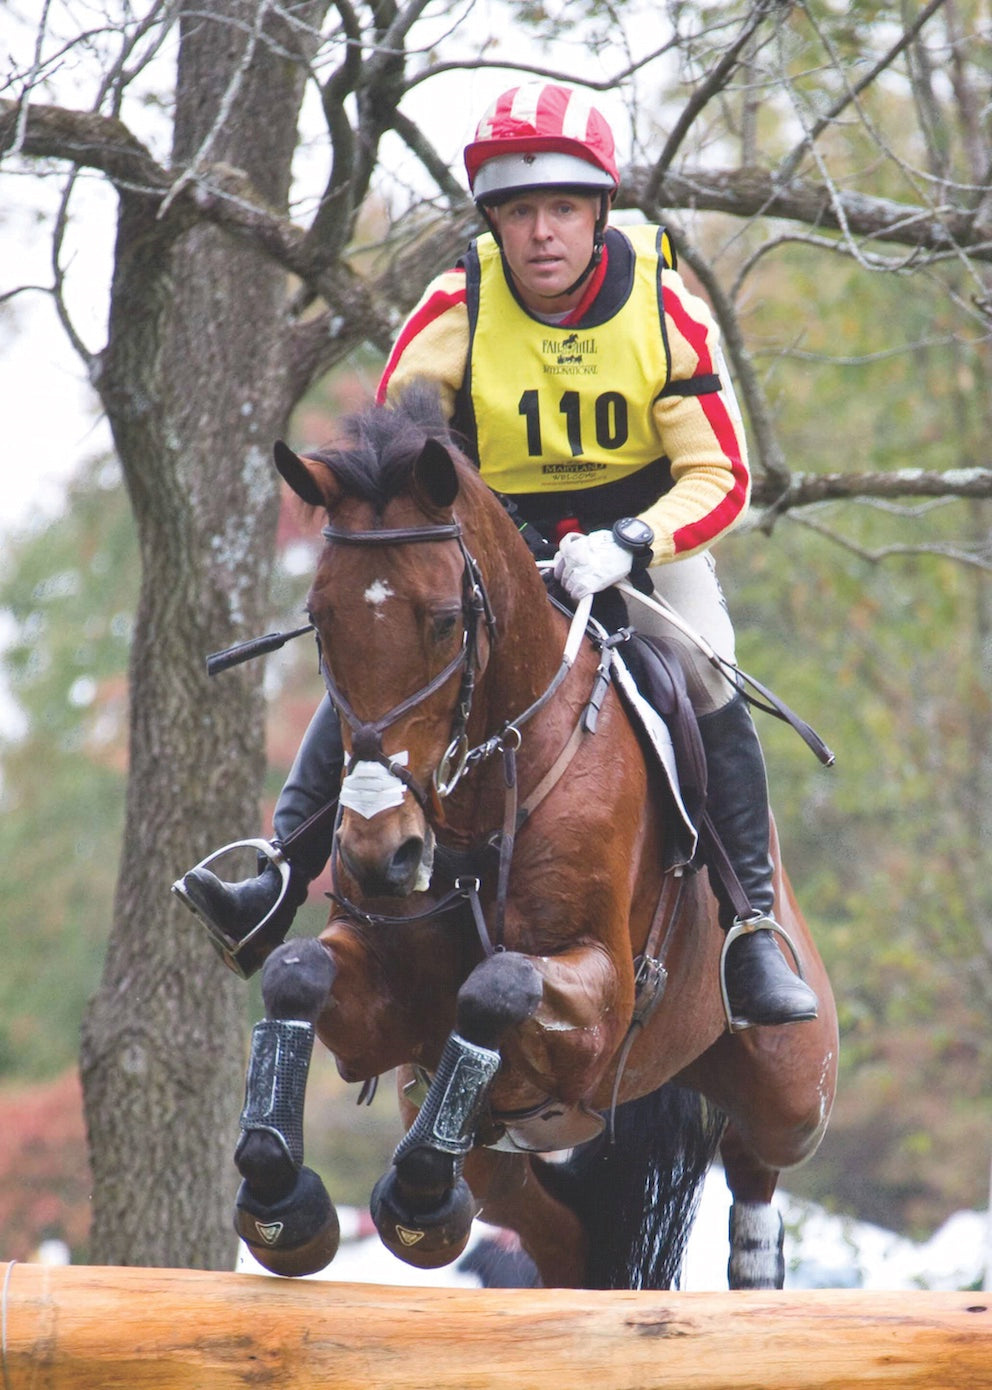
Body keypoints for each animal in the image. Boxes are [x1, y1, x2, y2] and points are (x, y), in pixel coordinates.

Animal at [233, 383, 833, 1289]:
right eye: (319, 620)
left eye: (447, 621)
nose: (383, 854)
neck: (479, 797)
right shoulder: (387, 1004)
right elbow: (298, 971)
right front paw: (282, 1201)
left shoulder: (600, 999)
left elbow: (497, 985)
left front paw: (414, 1184)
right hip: (511, 1163)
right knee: (564, 1232)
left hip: (793, 1081)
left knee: (759, 1152)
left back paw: (757, 1261)